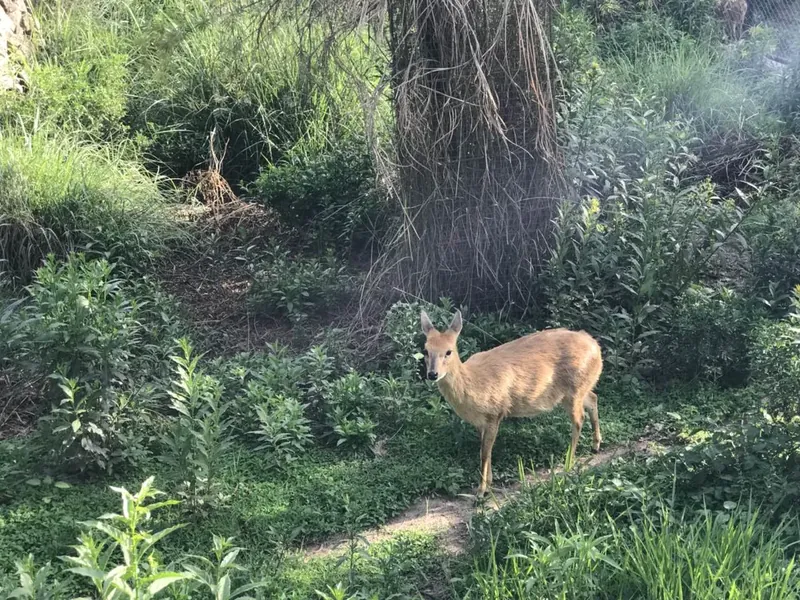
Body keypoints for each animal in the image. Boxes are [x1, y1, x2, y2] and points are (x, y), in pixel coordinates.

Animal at [420, 310, 603, 497]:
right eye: (425, 350)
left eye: (449, 351)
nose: (432, 374)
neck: (473, 383)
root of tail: (595, 346)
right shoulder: (481, 422)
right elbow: (485, 451)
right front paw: (489, 483)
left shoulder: (495, 412)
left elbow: (484, 453)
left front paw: (481, 491)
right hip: (576, 390)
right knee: (593, 398)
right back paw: (595, 445)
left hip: (573, 388)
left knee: (579, 419)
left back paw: (569, 462)